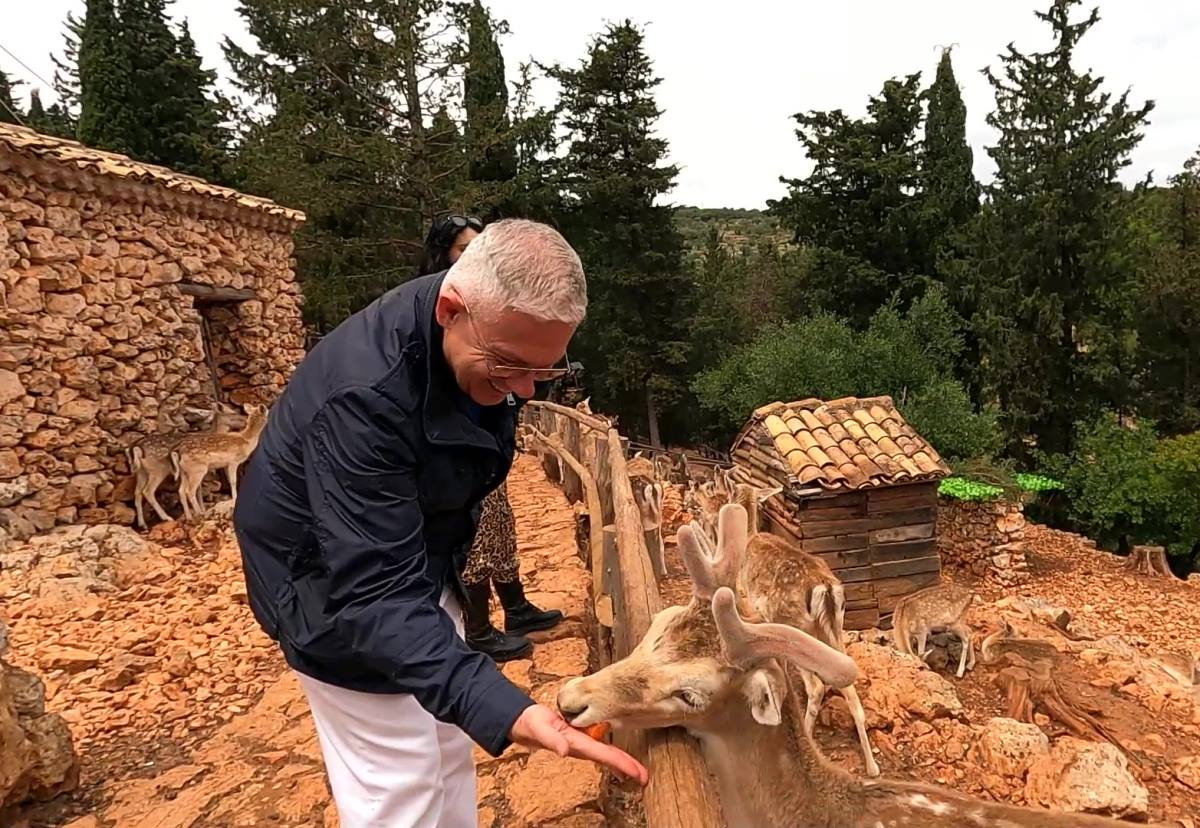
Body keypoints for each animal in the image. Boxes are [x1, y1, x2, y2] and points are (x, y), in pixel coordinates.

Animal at [126, 400, 243, 528]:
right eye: (232, 413)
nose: (244, 420)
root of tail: (135, 447)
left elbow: (197, 490)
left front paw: (200, 510)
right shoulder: (199, 468)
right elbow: (198, 490)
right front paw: (201, 510)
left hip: (141, 471)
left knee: (137, 493)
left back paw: (142, 524)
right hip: (158, 469)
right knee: (148, 491)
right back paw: (167, 518)